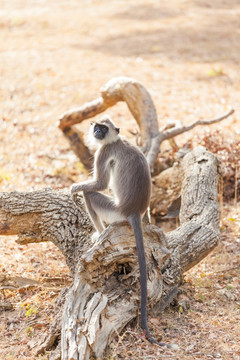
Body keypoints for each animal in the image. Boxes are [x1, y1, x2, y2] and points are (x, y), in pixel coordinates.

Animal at [70, 116, 161, 344]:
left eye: (103, 129)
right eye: (97, 127)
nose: (98, 133)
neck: (117, 140)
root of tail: (133, 211)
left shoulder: (104, 151)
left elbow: (100, 184)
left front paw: (74, 188)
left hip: (115, 211)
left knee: (90, 194)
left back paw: (99, 233)